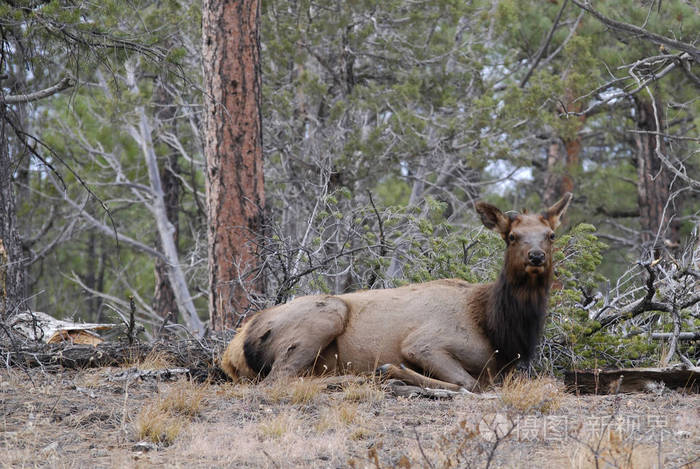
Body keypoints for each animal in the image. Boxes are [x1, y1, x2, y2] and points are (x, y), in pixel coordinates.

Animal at [220, 193, 572, 392]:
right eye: (512, 237)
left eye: (551, 235)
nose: (536, 257)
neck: (498, 330)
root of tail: (231, 351)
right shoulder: (423, 343)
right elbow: (468, 382)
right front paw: (396, 372)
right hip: (327, 313)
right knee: (279, 379)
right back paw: (356, 379)